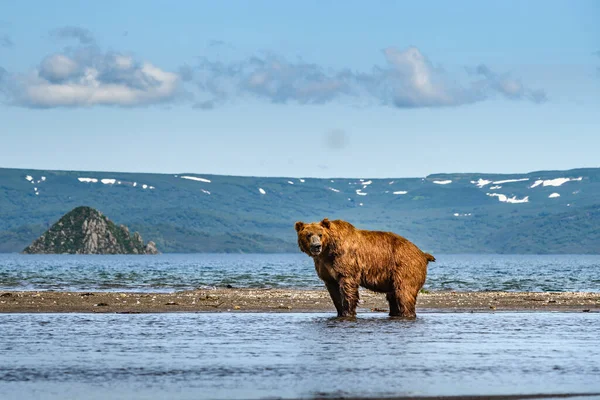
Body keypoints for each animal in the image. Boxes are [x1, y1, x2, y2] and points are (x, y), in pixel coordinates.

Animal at [296, 219, 434, 318]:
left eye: (320, 234)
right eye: (308, 234)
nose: (316, 246)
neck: (328, 250)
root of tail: (422, 254)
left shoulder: (346, 261)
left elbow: (348, 287)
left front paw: (348, 312)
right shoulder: (326, 268)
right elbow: (334, 291)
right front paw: (340, 311)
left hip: (405, 267)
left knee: (404, 293)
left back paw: (407, 314)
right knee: (393, 296)